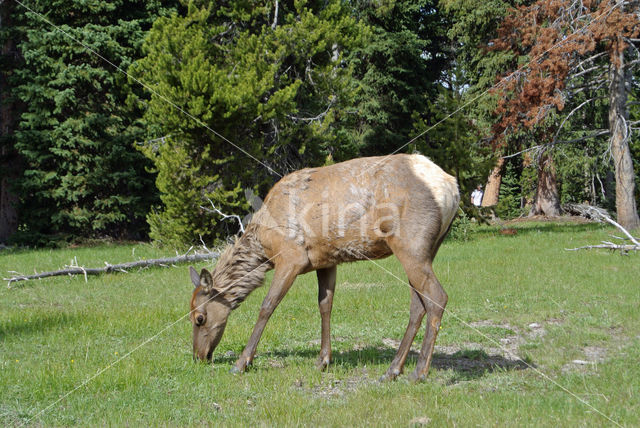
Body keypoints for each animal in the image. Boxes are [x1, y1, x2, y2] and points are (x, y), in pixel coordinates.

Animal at [188, 154, 458, 382]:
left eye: (199, 317)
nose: (199, 357)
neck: (264, 245)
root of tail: (452, 189)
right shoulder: (326, 260)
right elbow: (325, 305)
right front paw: (323, 360)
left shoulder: (291, 257)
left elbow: (267, 306)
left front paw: (242, 362)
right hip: (428, 249)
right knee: (418, 304)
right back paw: (392, 370)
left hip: (411, 244)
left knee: (438, 297)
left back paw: (419, 372)